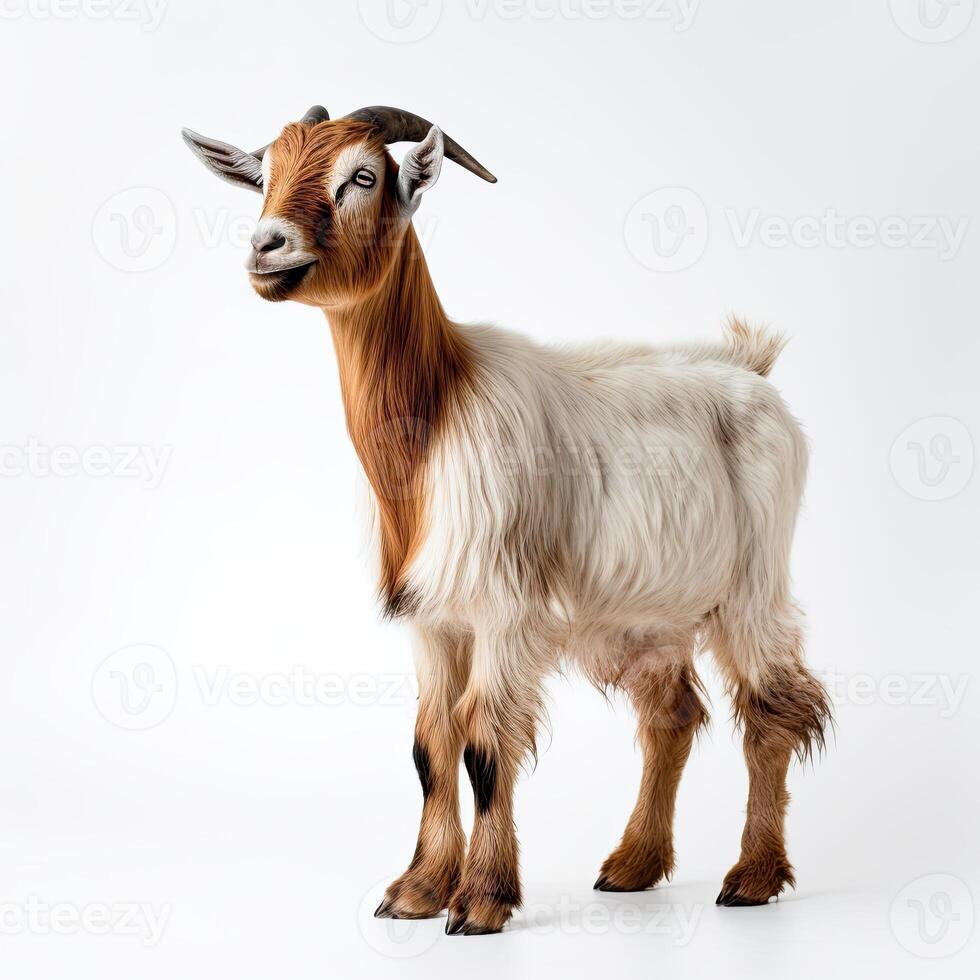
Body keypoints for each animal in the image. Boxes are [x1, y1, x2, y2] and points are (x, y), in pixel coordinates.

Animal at [182, 103, 828, 936]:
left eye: (363, 176)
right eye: (265, 174)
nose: (266, 245)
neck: (437, 414)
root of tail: (751, 368)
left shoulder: (503, 608)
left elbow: (485, 745)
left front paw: (482, 899)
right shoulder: (430, 619)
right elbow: (430, 746)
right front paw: (417, 890)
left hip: (753, 582)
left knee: (774, 707)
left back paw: (751, 876)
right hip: (648, 612)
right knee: (672, 715)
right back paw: (633, 865)